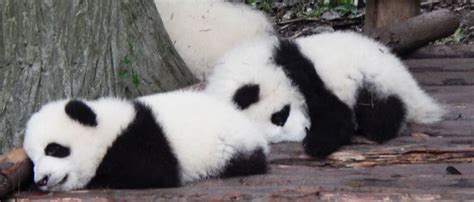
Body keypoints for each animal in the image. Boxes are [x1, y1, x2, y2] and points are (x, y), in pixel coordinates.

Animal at [23, 90, 266, 192]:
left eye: (54, 149)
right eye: (32, 161)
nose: (41, 180)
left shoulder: (141, 140)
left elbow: (152, 172)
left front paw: (99, 179)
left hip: (228, 146)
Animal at [206, 32, 446, 158]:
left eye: (280, 116)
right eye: (276, 135)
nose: (304, 131)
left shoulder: (300, 68)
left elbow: (336, 114)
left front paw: (316, 143)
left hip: (376, 77)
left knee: (380, 112)